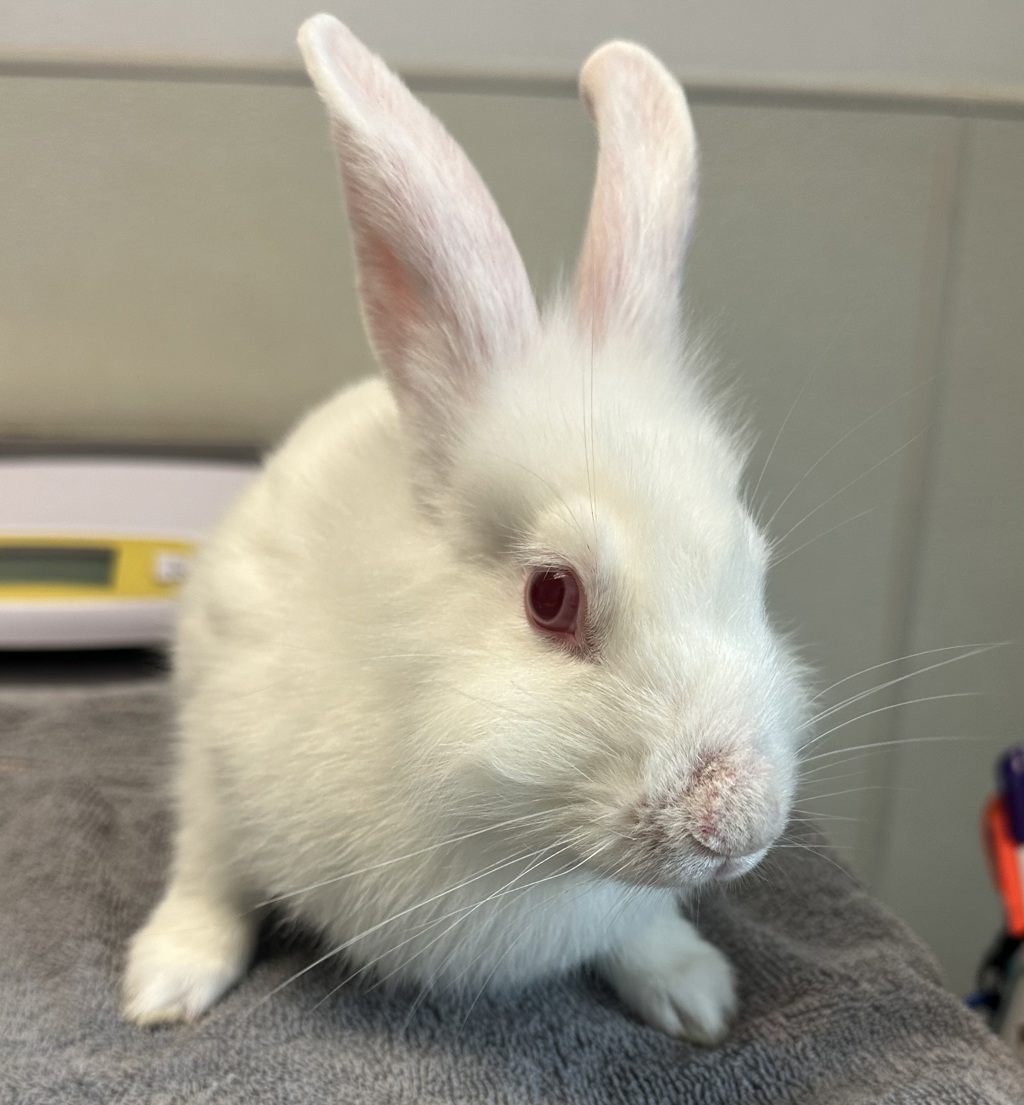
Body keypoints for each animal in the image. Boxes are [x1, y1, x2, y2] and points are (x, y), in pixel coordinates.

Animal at [121, 12, 809, 1044]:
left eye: (753, 569)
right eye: (551, 595)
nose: (739, 824)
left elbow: (642, 929)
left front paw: (696, 995)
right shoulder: (217, 771)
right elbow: (210, 879)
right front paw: (164, 985)